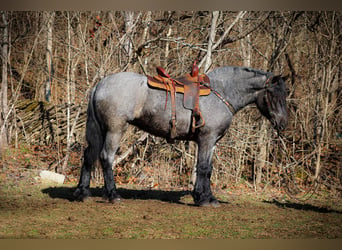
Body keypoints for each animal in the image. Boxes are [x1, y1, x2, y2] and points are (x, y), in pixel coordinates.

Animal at [75, 65, 288, 206]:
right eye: (274, 95)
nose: (283, 123)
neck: (221, 93)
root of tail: (100, 85)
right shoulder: (207, 139)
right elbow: (203, 168)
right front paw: (203, 199)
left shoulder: (211, 143)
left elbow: (207, 168)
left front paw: (207, 197)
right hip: (115, 129)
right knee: (106, 157)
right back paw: (113, 195)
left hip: (98, 130)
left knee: (89, 156)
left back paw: (82, 192)